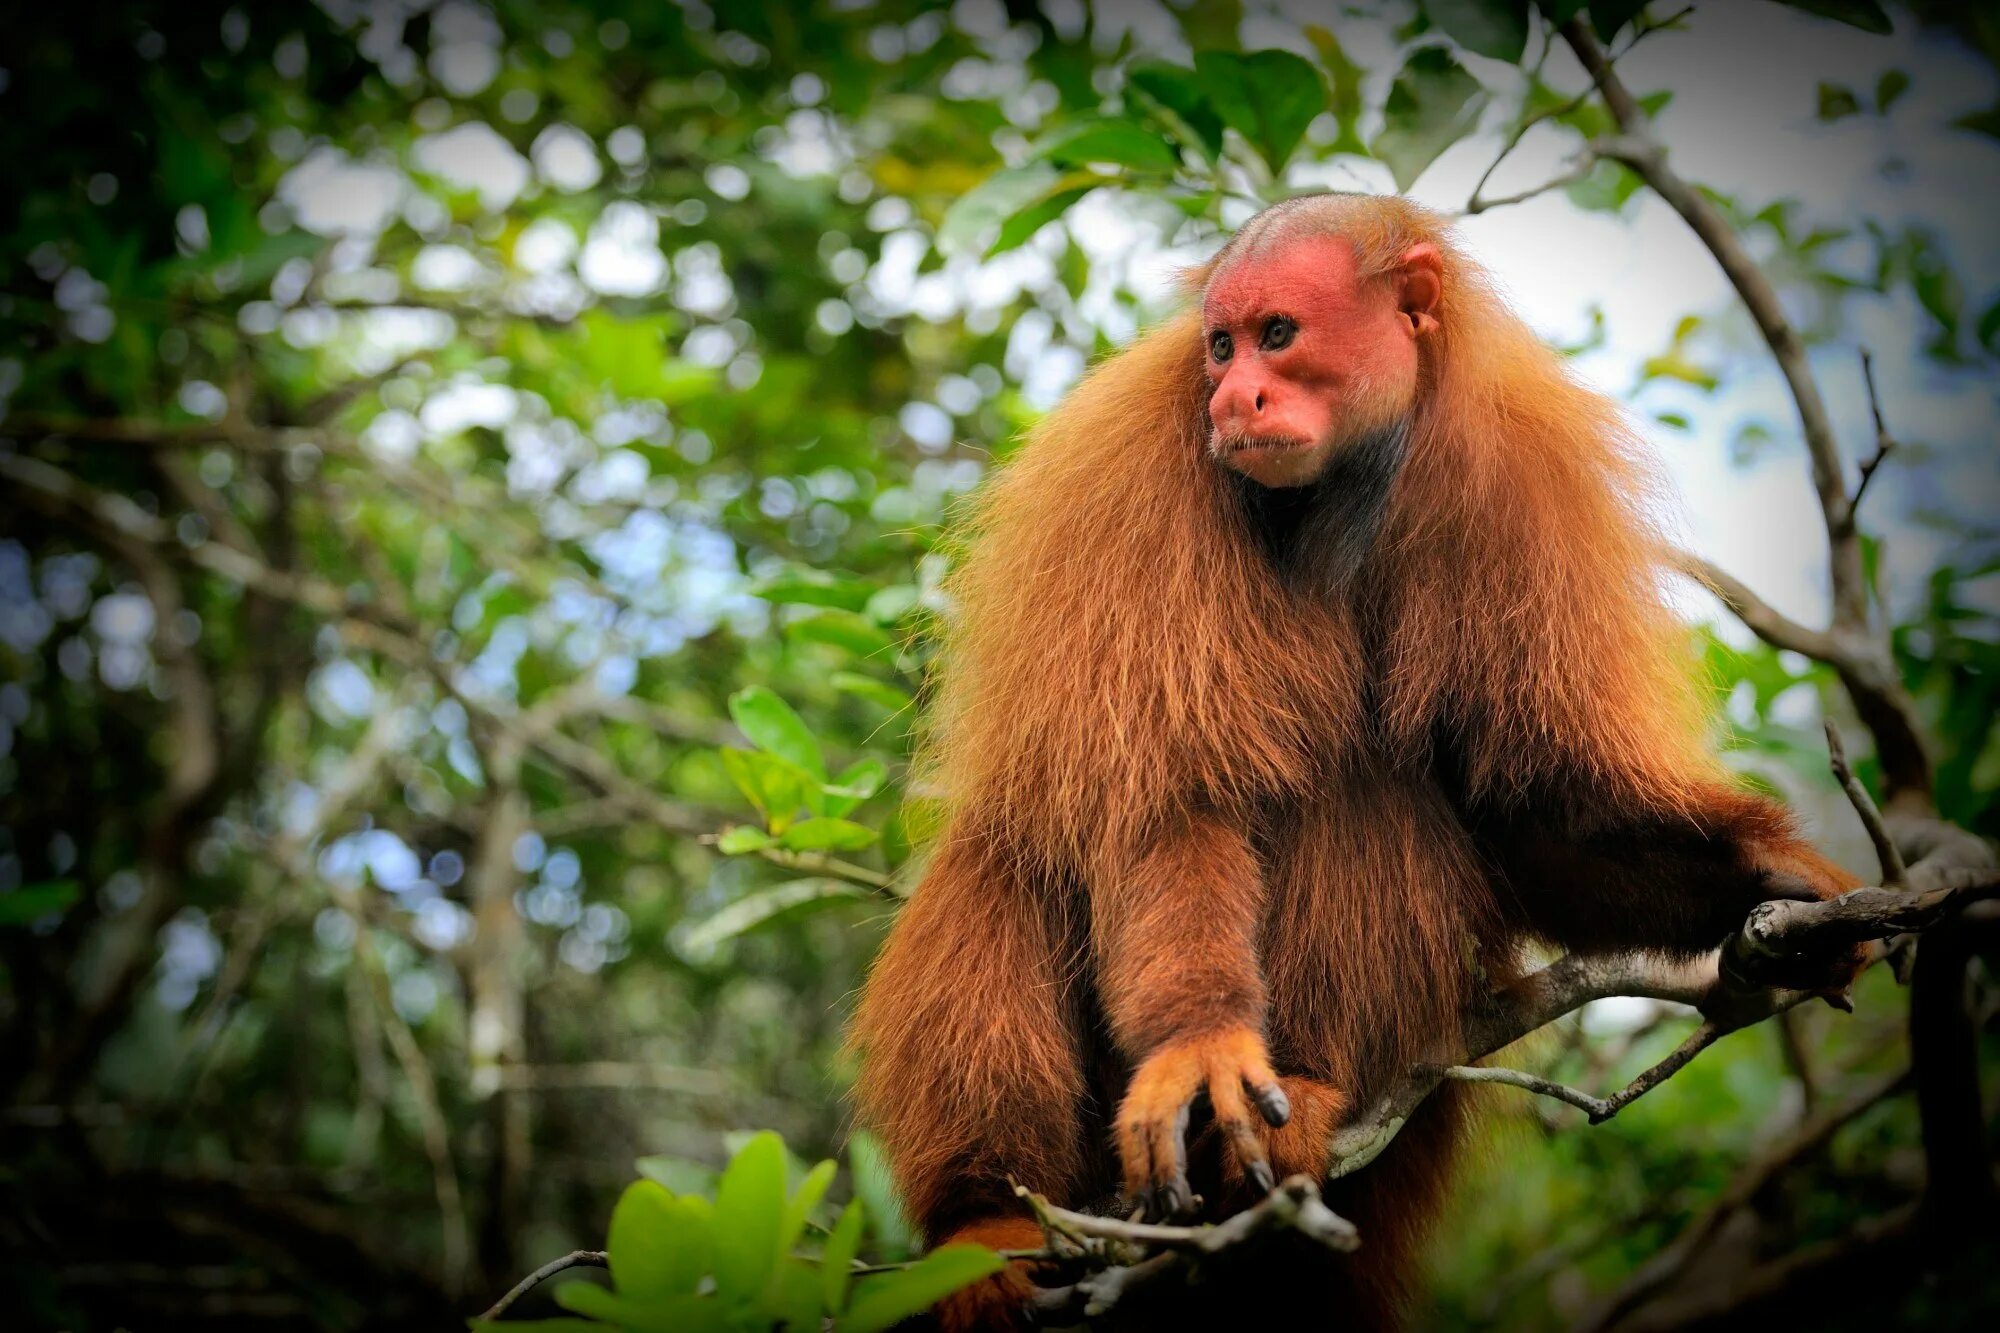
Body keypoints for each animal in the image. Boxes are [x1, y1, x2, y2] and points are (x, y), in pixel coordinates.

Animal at [844, 192, 1856, 1320]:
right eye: (1220, 345)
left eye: (1278, 334)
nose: (1234, 393)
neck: (1340, 487)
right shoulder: (1134, 472)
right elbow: (1167, 800)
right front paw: (1199, 1038)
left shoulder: (1525, 486)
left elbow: (1536, 812)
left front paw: (1757, 875)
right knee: (1009, 852)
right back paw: (986, 1219)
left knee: (1363, 796)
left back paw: (1306, 1109)